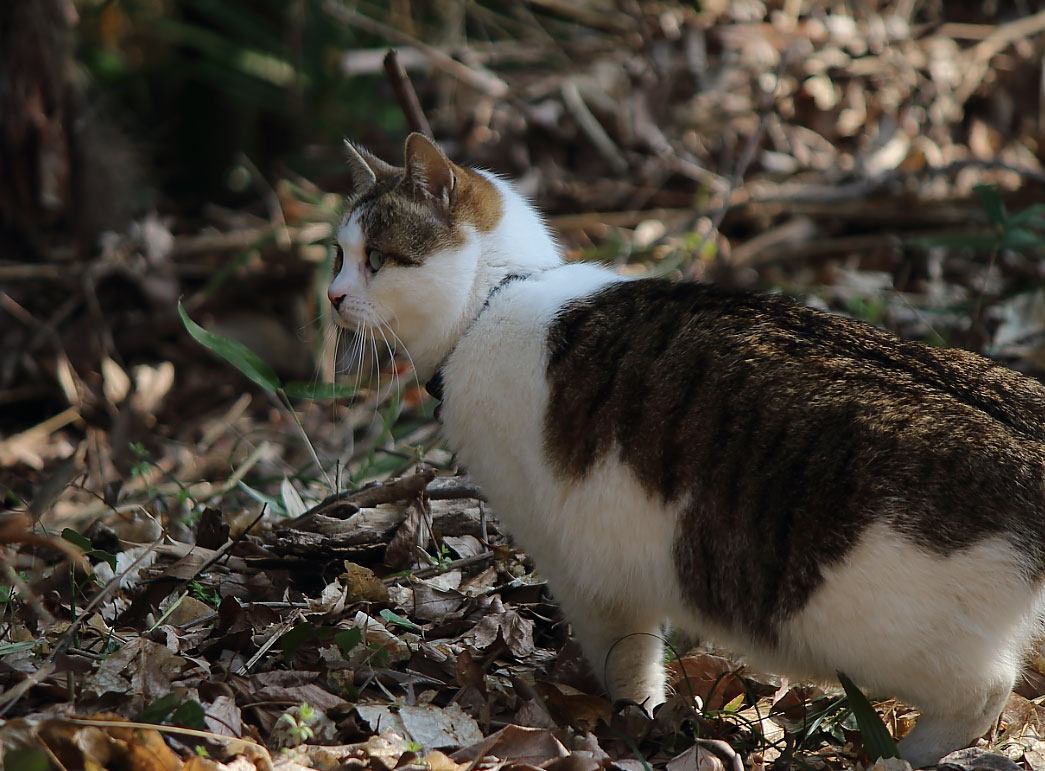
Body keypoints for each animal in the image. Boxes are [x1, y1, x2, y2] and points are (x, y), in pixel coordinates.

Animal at [328, 132, 1045, 764]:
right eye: (339, 255)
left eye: (376, 259)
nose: (333, 296)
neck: (496, 298)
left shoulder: (585, 568)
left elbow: (627, 660)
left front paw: (632, 723)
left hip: (877, 626)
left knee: (983, 692)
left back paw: (902, 755)